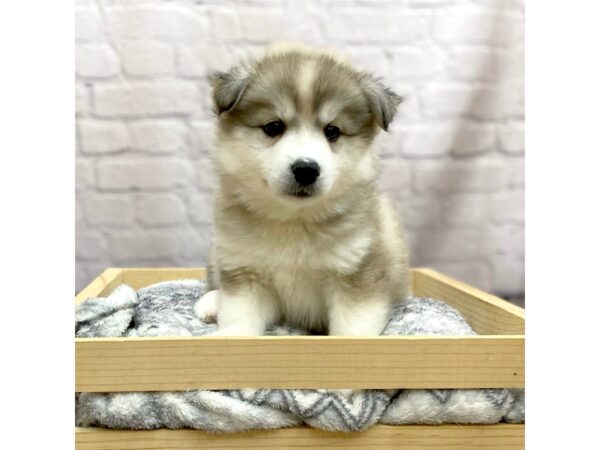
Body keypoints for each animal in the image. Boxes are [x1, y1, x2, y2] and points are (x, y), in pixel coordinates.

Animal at [195, 44, 410, 336]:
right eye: (274, 126)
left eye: (332, 131)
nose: (306, 169)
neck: (294, 221)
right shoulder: (247, 273)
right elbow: (240, 319)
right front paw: (232, 336)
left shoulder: (358, 274)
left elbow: (352, 329)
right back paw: (211, 303)